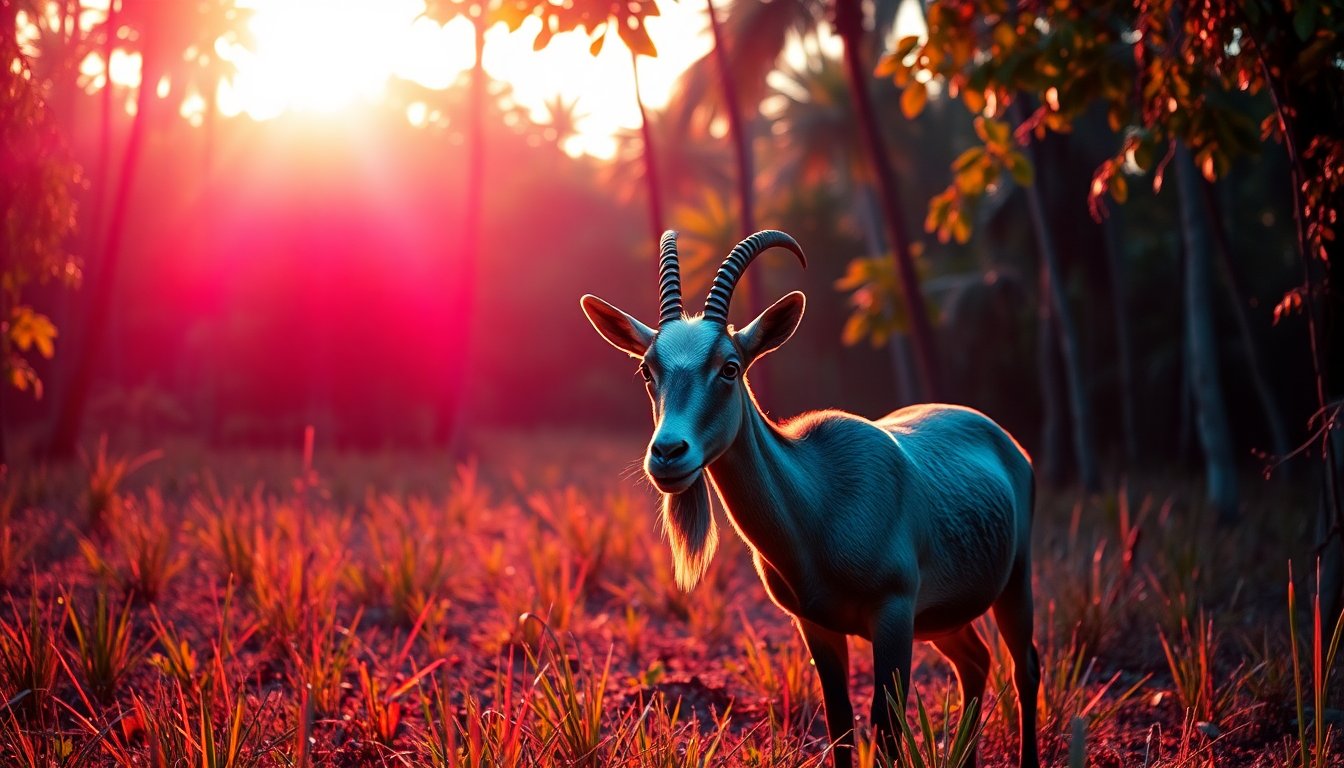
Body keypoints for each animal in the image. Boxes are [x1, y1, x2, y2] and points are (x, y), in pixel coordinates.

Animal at [580, 230, 1039, 768]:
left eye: (730, 367)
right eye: (648, 370)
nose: (669, 453)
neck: (819, 504)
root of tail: (1005, 442)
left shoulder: (894, 615)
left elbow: (885, 728)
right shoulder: (816, 626)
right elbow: (840, 723)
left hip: (1014, 582)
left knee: (1024, 666)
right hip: (943, 619)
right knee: (975, 662)